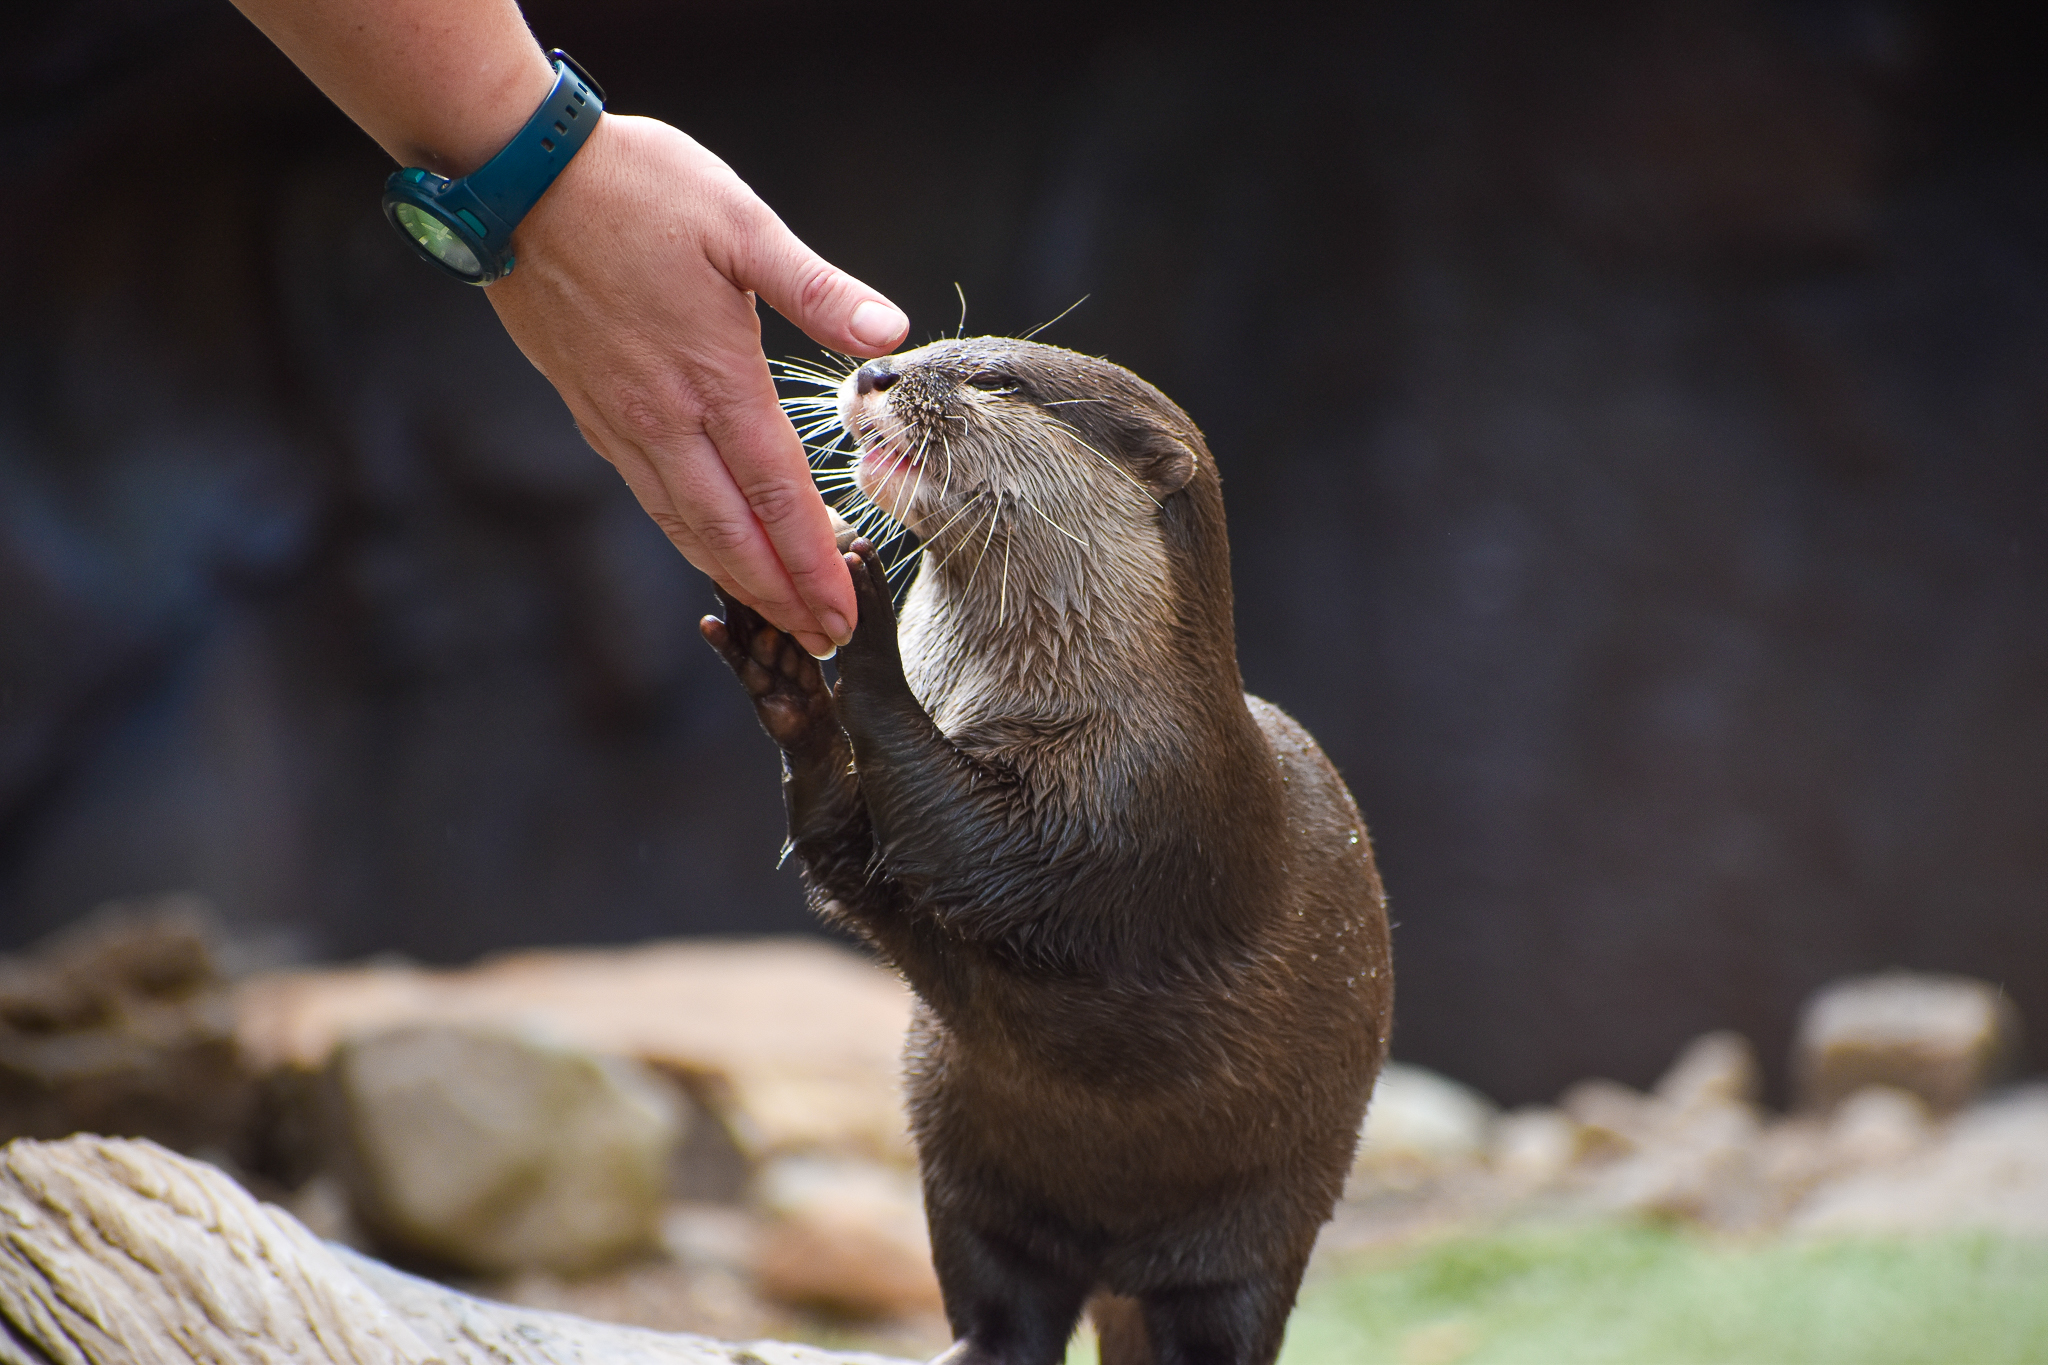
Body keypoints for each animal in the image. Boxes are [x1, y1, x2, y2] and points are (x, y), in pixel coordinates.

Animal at [700, 338, 1391, 1365]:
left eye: (995, 381)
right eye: (921, 348)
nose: (876, 372)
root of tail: (1115, 1261)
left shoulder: (1143, 797)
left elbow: (975, 848)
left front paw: (863, 616)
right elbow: (854, 864)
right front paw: (786, 681)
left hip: (1260, 1221)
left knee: (1218, 1315)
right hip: (964, 1174)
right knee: (1006, 1306)